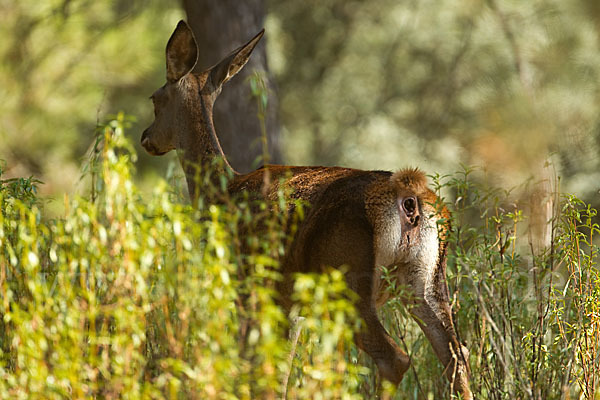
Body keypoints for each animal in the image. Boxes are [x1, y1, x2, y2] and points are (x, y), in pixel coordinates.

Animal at [141, 21, 474, 400]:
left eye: (155, 99)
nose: (146, 137)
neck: (220, 190)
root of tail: (410, 200)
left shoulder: (246, 283)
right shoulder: (289, 302)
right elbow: (282, 368)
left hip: (346, 275)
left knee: (396, 358)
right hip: (428, 281)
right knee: (456, 355)